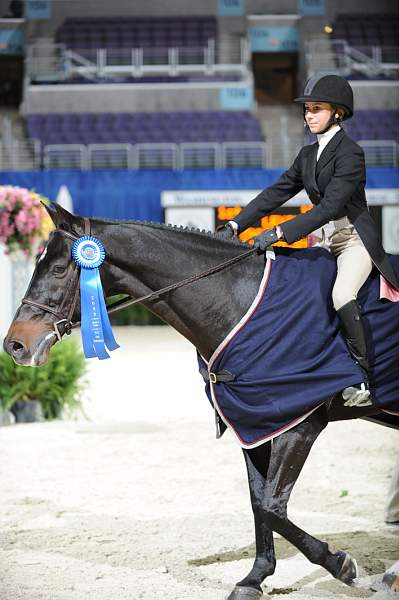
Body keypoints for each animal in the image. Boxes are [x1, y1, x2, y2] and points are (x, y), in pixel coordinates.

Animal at [3, 203, 399, 600]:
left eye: (58, 269)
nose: (15, 345)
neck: (240, 301)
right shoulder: (254, 425)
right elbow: (260, 504)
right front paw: (254, 578)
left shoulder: (298, 426)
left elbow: (273, 506)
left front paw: (341, 564)